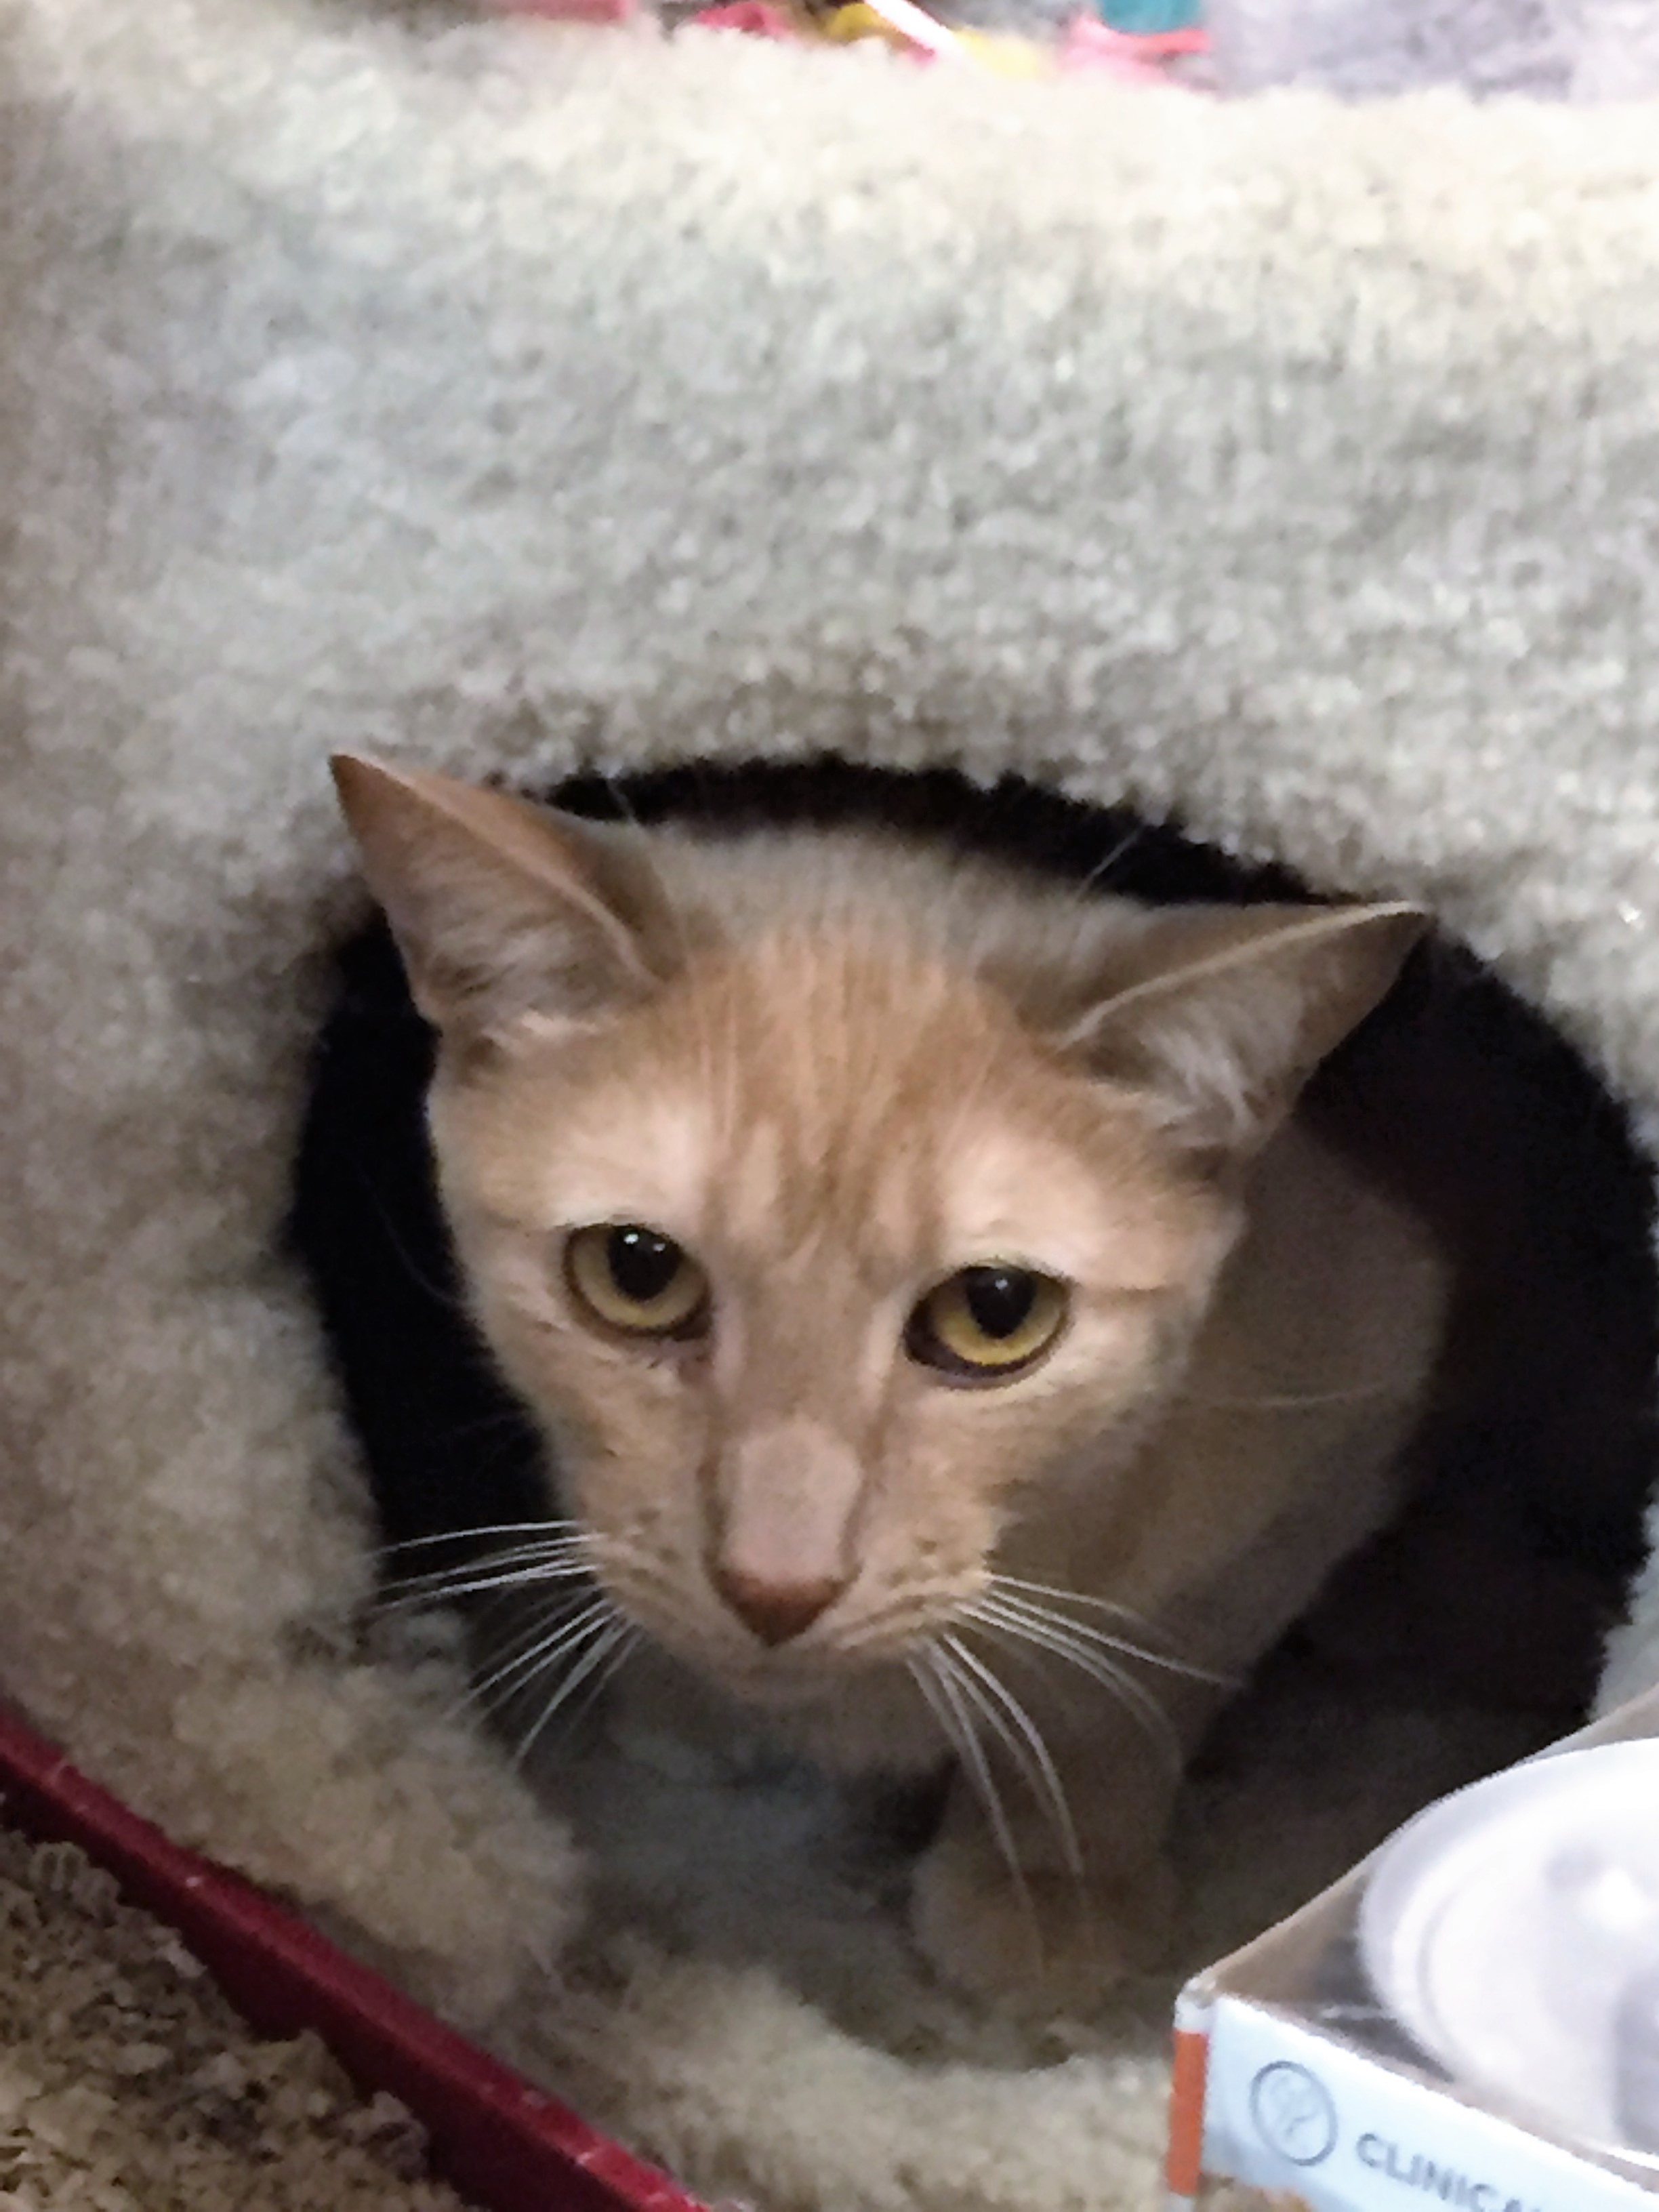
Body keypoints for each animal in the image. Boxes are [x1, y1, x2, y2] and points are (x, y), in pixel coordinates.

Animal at [331, 752, 1451, 2017]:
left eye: (996, 1312)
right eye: (635, 1272)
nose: (775, 1585)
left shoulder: (1328, 1446)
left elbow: (1135, 1685)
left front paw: (1048, 1873)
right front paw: (681, 1697)